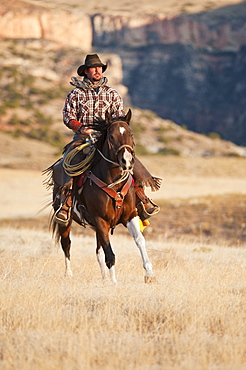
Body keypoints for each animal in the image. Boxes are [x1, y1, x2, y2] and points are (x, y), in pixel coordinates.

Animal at [51, 110, 154, 284]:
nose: (127, 161)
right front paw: (114, 283)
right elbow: (110, 253)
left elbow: (140, 240)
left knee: (98, 251)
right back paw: (69, 273)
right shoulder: (101, 220)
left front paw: (149, 273)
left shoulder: (130, 216)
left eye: (131, 134)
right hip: (66, 222)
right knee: (67, 243)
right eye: (111, 136)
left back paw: (104, 277)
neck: (114, 184)